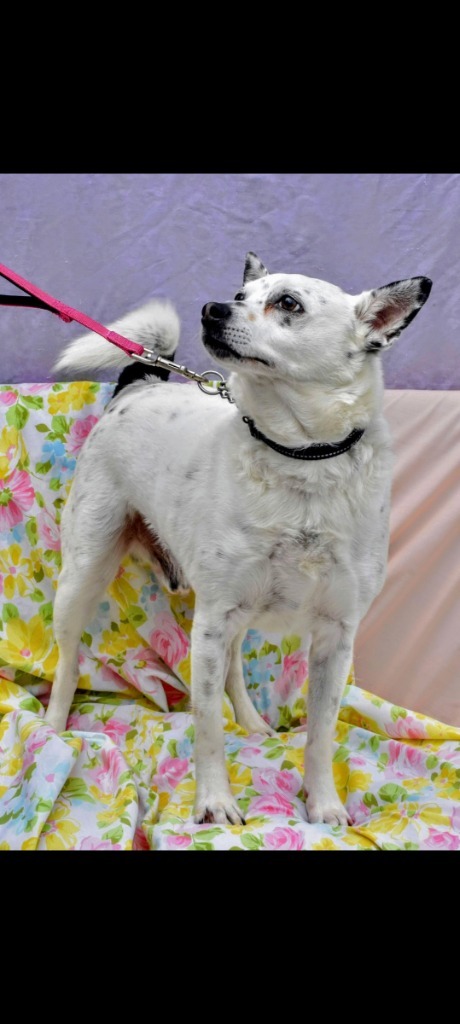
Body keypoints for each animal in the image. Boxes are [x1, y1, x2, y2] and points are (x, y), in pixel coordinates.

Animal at [45, 251, 430, 827]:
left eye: (288, 303)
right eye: (240, 296)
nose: (211, 309)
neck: (301, 458)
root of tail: (141, 381)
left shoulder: (335, 636)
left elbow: (321, 733)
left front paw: (323, 804)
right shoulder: (211, 621)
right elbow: (206, 725)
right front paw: (214, 801)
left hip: (235, 611)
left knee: (233, 672)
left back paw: (251, 722)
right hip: (83, 574)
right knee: (68, 661)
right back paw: (52, 728)